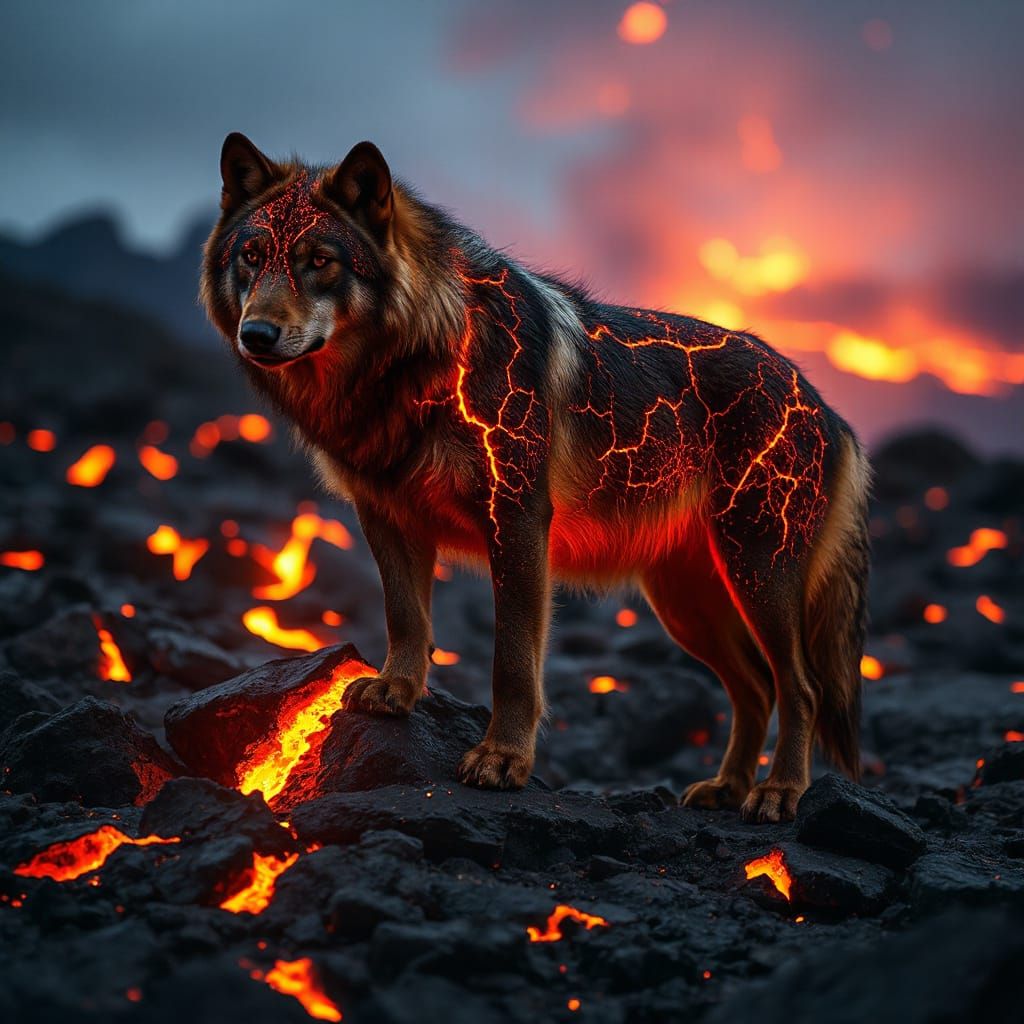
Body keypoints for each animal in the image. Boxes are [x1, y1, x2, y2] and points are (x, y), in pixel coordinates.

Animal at [201, 134, 870, 822]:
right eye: (251, 257)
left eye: (320, 261)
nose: (257, 334)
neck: (418, 360)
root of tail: (827, 410)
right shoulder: (386, 516)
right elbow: (405, 616)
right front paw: (397, 690)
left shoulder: (517, 518)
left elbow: (513, 662)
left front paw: (503, 759)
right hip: (687, 604)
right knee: (756, 688)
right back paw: (726, 788)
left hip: (756, 576)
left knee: (802, 688)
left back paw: (779, 791)